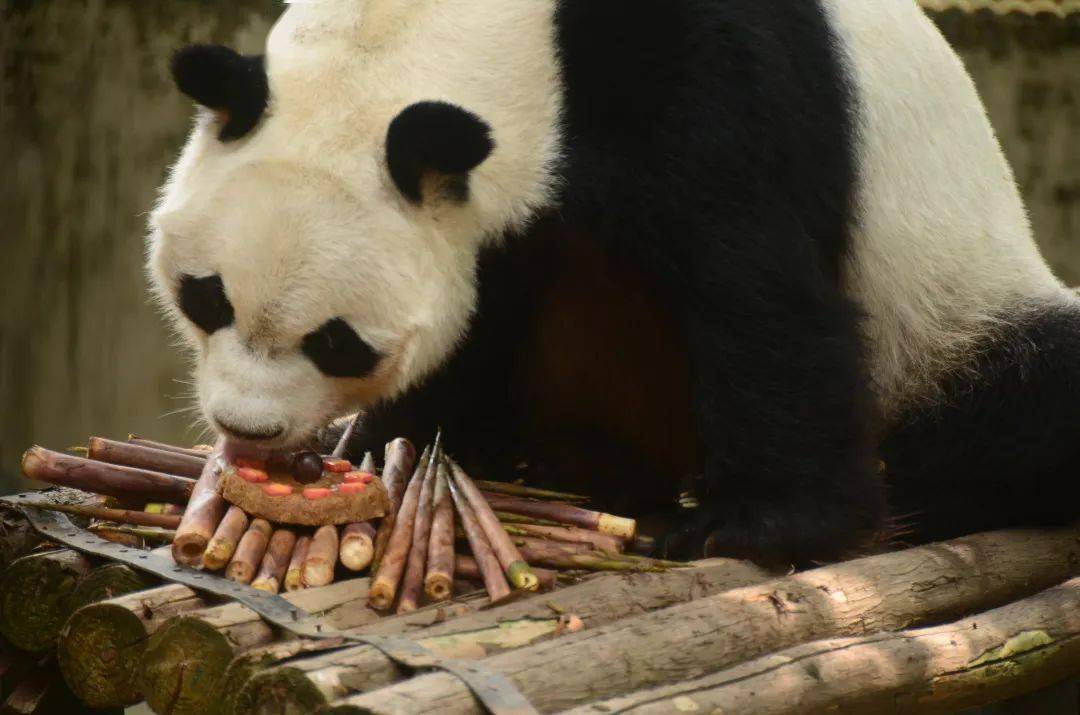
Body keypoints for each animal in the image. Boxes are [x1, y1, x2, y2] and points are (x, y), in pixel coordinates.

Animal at [150, 1, 1080, 570]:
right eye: (207, 298)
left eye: (336, 340)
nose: (248, 428)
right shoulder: (505, 216)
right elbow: (485, 311)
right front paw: (392, 440)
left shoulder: (709, 71)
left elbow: (752, 283)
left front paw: (752, 522)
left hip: (951, 318)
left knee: (1027, 394)